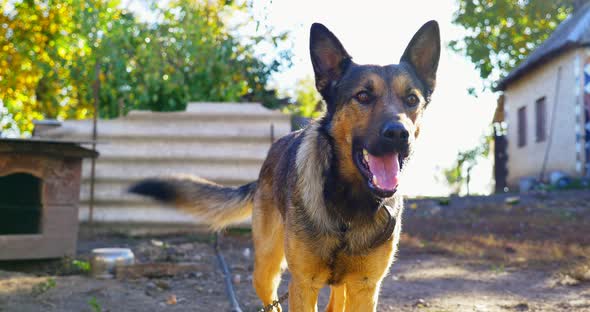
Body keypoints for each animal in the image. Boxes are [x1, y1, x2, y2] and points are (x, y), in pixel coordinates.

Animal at [132, 20, 442, 310]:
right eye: (363, 96)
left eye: (411, 99)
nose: (398, 134)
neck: (348, 205)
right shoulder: (303, 284)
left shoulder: (365, 287)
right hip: (267, 267)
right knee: (272, 298)